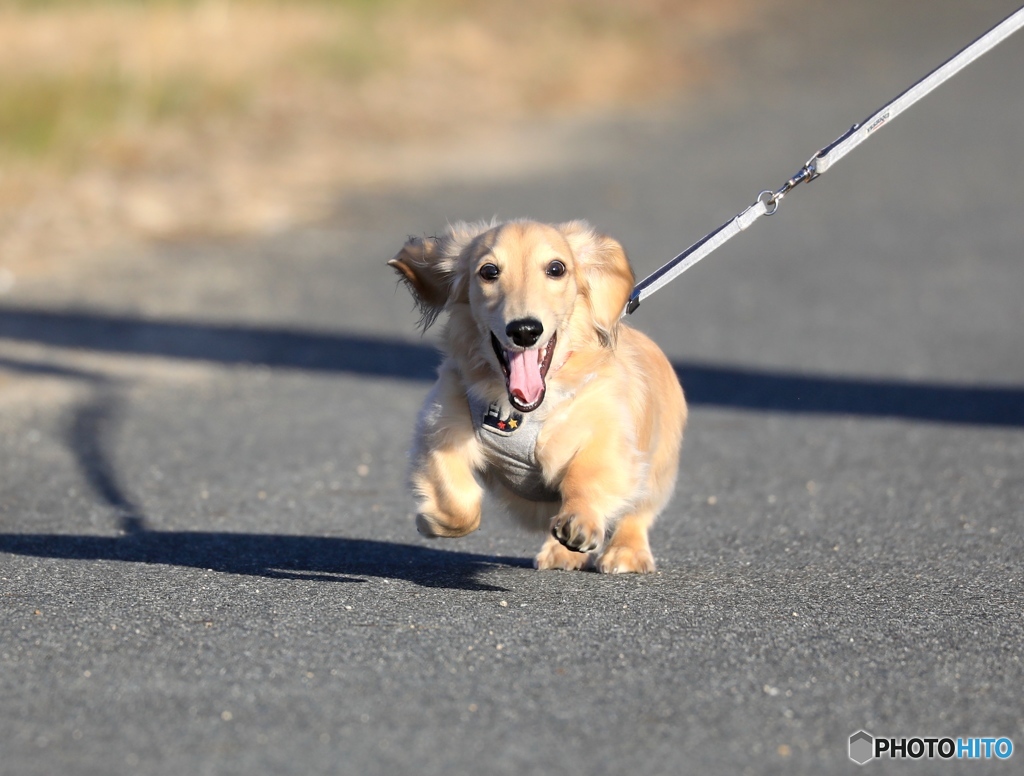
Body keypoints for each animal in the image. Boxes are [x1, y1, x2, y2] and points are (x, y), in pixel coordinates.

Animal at [387, 219, 684, 573]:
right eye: (489, 271)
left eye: (556, 268)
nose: (525, 330)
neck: (519, 412)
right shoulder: (441, 431)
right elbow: (460, 502)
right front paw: (431, 520)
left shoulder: (607, 438)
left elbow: (588, 478)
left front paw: (581, 520)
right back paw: (561, 554)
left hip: (657, 468)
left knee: (637, 513)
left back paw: (625, 552)